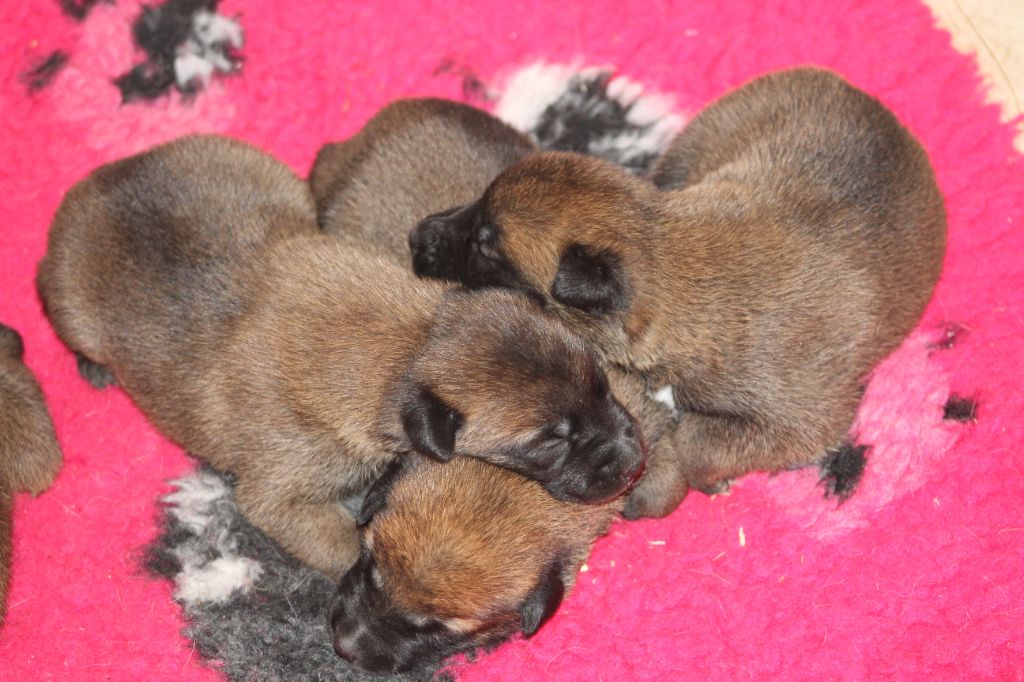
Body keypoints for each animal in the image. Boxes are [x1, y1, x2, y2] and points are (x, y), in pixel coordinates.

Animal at [38, 135, 645, 580]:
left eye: (601, 383)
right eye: (547, 441)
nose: (634, 462)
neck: (412, 339)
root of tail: (108, 173)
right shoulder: (281, 498)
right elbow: (348, 544)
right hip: (73, 308)